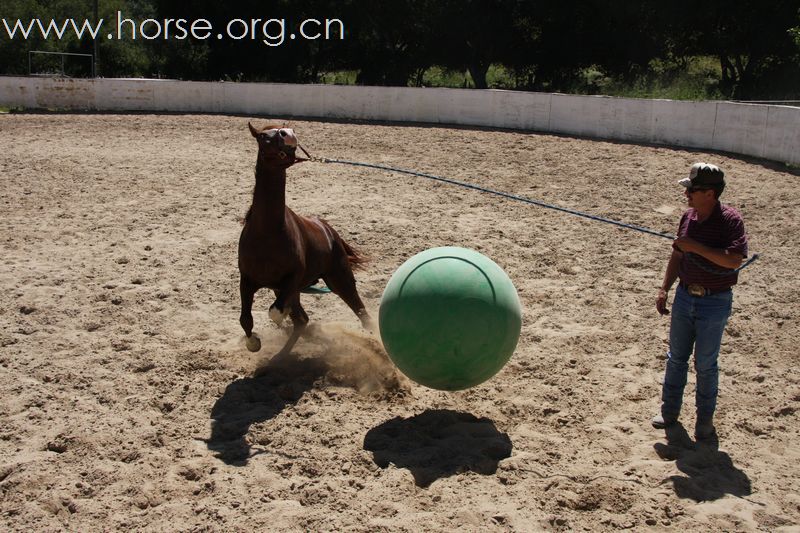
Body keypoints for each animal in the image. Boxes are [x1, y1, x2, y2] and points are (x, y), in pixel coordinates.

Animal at [238, 121, 376, 370]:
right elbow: (246, 319)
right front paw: (254, 343)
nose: (287, 133)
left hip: (340, 280)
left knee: (362, 314)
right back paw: (279, 357)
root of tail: (329, 230)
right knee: (302, 320)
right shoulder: (247, 279)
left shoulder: (292, 279)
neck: (267, 233)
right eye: (263, 136)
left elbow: (276, 312)